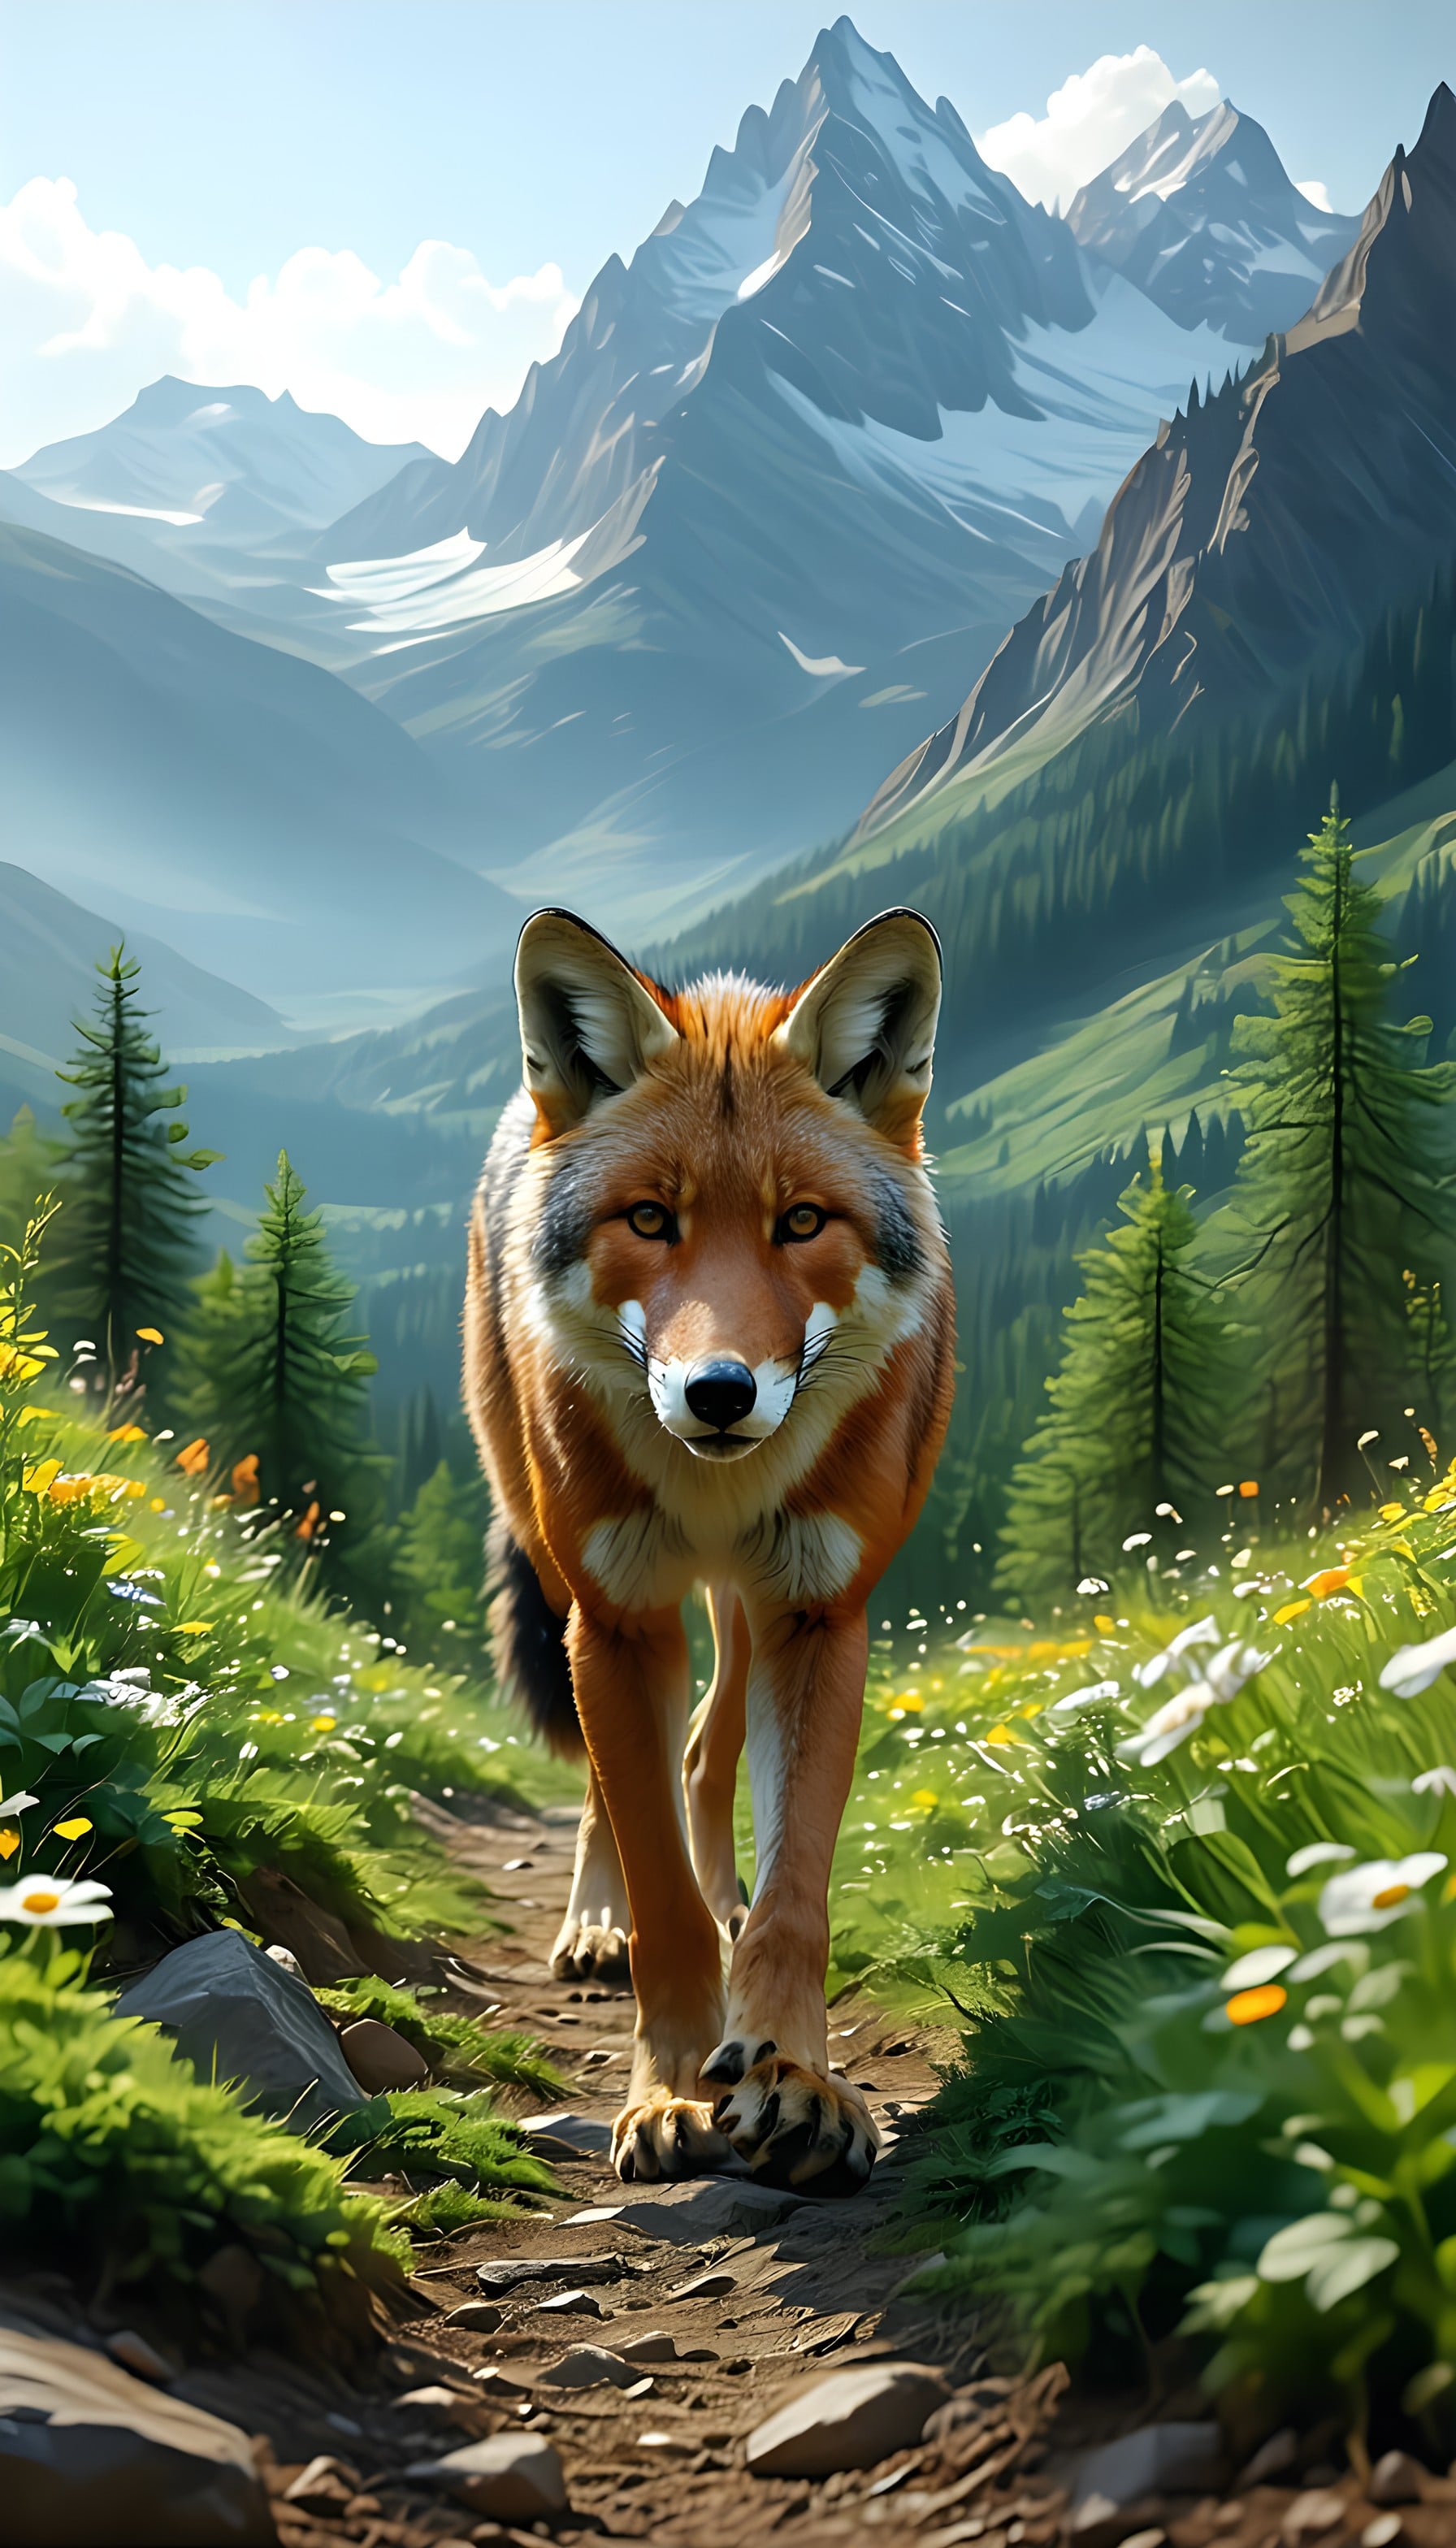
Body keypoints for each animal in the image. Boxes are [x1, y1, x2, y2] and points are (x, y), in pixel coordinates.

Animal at [464, 904, 955, 2193]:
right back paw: (593, 1927)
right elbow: (662, 1903)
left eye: (800, 1222)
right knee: (612, 1789)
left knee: (706, 1748)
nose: (720, 1392)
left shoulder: (820, 1613)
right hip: (563, 1572)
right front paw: (675, 2092)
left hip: (743, 1608)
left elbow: (792, 1898)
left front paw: (793, 2077)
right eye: (651, 1219)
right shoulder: (620, 1618)